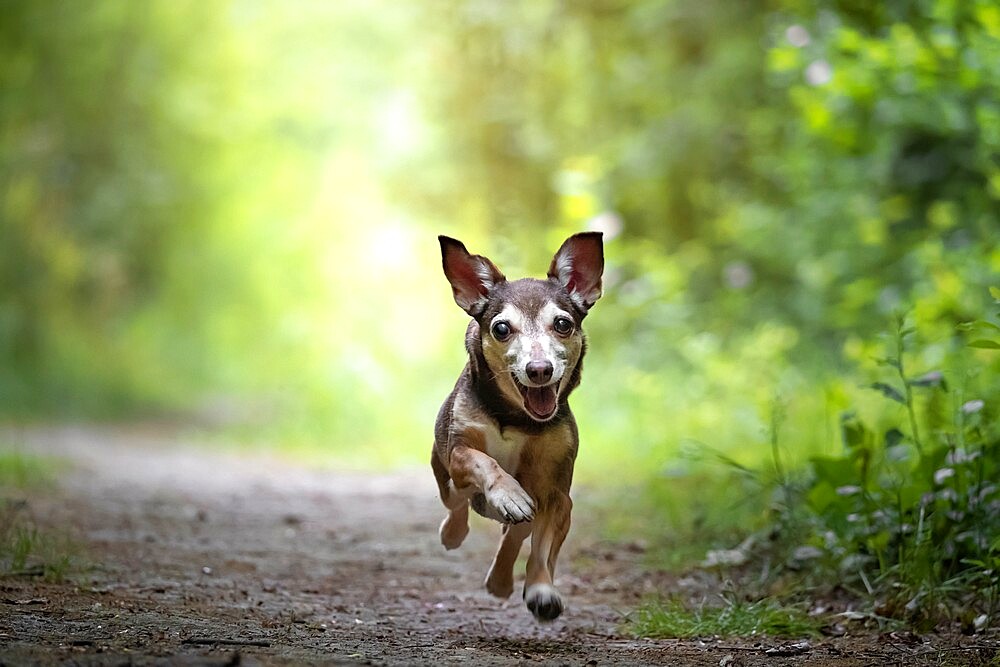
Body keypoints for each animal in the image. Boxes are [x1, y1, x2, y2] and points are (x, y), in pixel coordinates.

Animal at [430, 234, 600, 620]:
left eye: (563, 324)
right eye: (502, 328)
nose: (539, 369)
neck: (517, 417)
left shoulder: (555, 495)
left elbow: (542, 550)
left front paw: (541, 589)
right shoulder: (459, 449)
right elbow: (486, 462)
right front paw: (507, 493)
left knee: (516, 534)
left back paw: (500, 581)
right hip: (444, 473)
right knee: (456, 501)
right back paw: (453, 533)